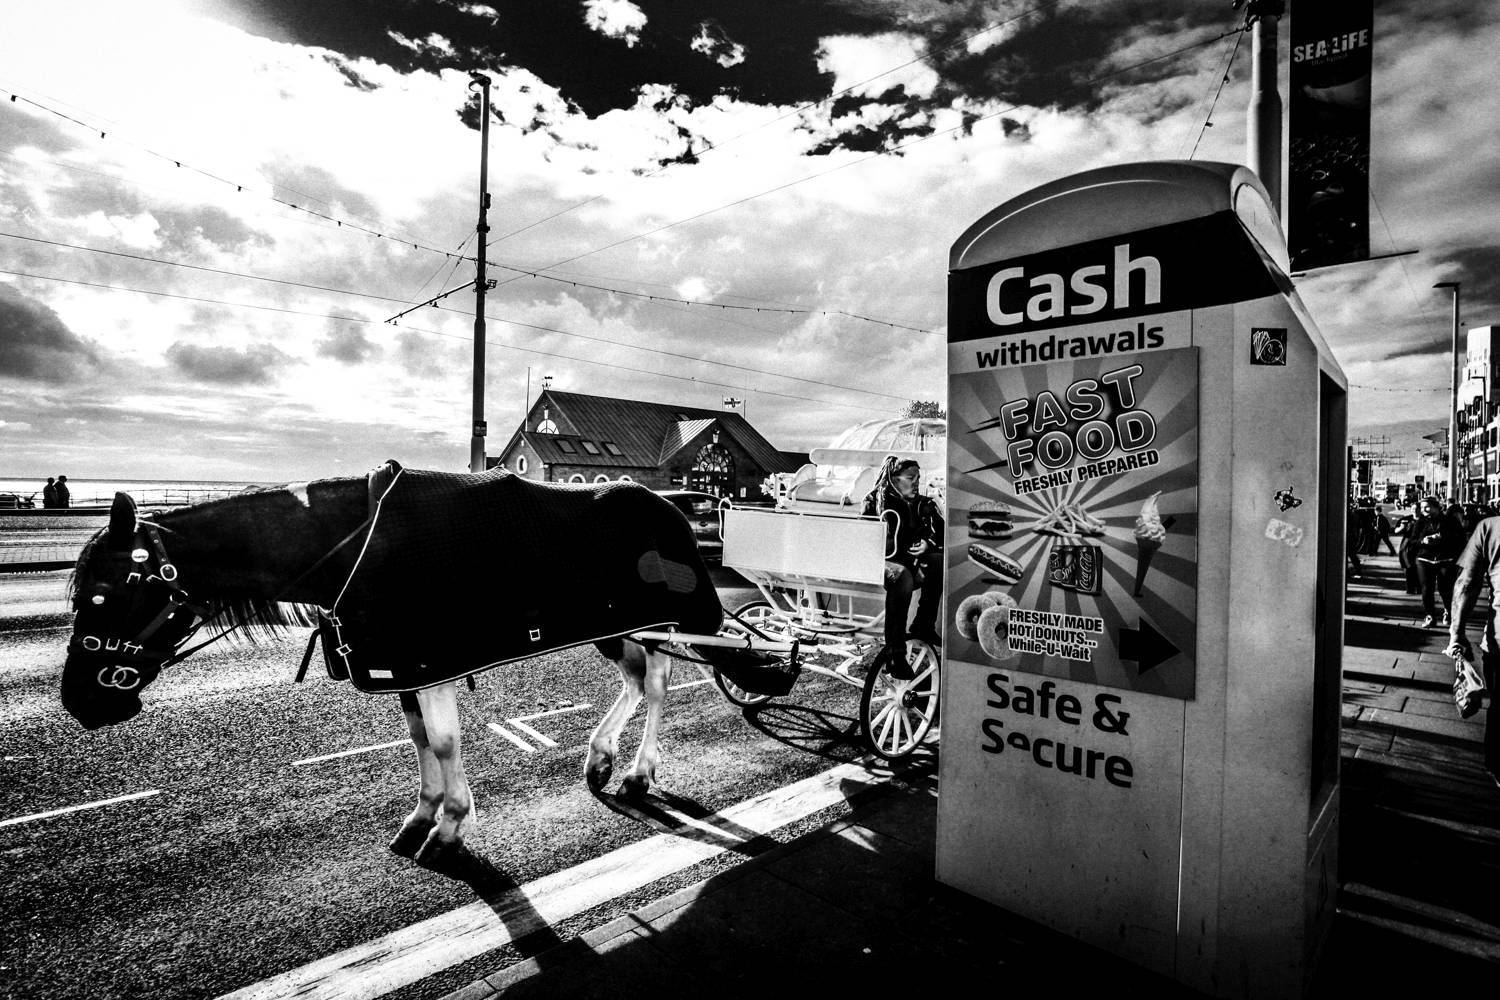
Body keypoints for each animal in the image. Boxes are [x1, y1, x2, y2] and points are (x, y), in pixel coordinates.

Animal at [61, 464, 729, 863]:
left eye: (106, 593)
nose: (80, 700)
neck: (350, 546)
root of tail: (672, 509)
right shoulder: (402, 664)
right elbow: (418, 739)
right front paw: (424, 811)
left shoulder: (429, 660)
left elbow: (444, 739)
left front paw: (452, 823)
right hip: (616, 625)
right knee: (636, 677)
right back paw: (601, 754)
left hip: (662, 617)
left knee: (658, 682)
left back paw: (639, 770)